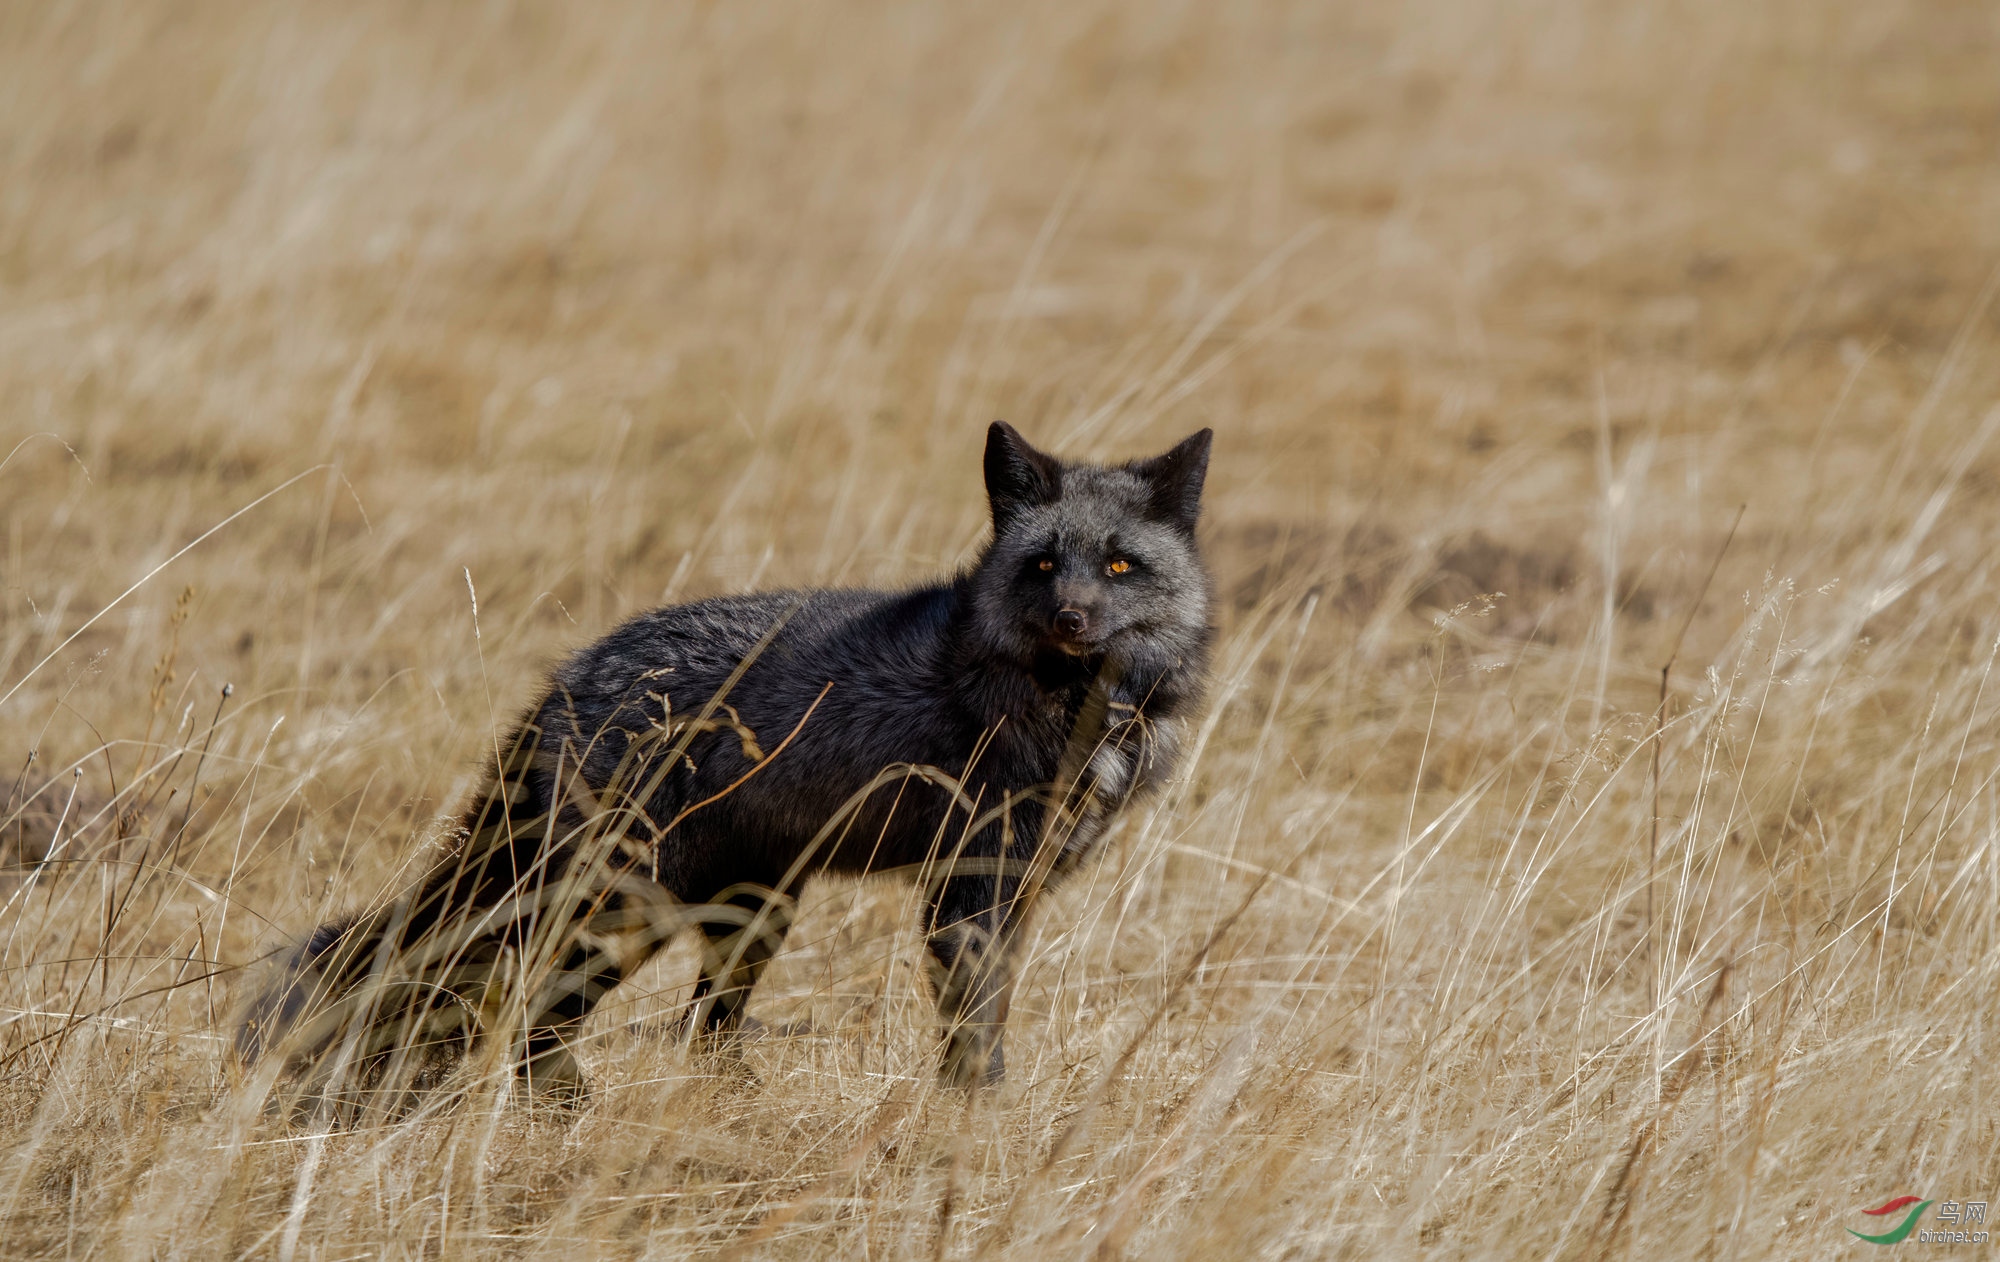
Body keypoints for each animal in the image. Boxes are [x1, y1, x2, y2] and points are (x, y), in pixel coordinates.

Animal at [250, 420, 1216, 1104]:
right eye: (1043, 565)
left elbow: (988, 1021)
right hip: (624, 906)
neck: (1074, 710)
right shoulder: (968, 888)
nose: (1072, 620)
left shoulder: (1015, 889)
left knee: (691, 1032)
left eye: (1120, 566)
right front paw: (974, 1126)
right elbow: (974, 1039)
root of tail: (570, 679)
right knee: (534, 1021)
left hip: (749, 912)